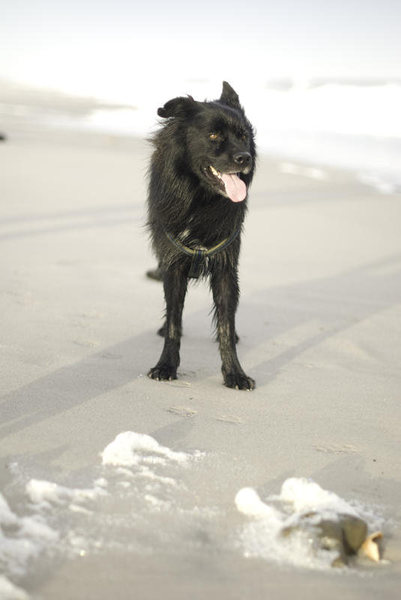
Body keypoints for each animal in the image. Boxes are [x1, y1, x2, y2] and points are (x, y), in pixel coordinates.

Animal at [145, 82, 255, 392]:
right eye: (214, 135)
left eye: (244, 136)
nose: (245, 158)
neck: (200, 199)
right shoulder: (173, 265)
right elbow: (173, 321)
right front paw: (166, 366)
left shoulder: (226, 268)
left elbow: (226, 327)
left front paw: (234, 373)